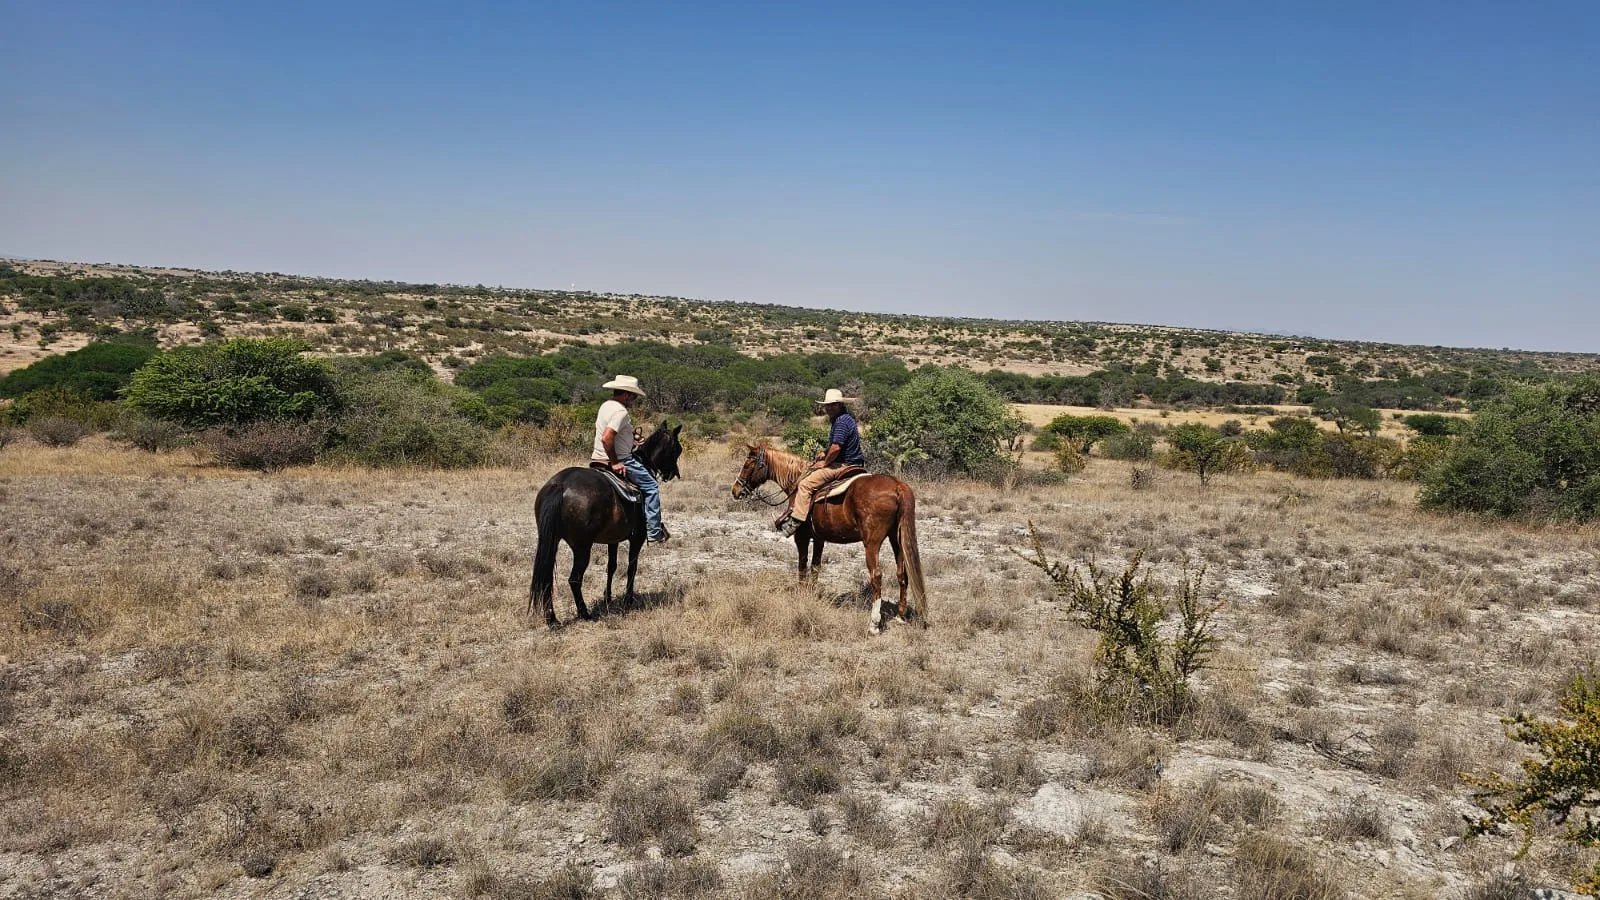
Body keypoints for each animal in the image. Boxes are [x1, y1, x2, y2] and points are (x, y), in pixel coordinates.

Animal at [528, 422, 683, 628]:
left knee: (546, 580)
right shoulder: (637, 538)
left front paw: (608, 598)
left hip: (551, 541)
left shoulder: (613, 539)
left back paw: (552, 618)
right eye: (677, 449)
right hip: (582, 547)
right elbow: (631, 567)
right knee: (574, 579)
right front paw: (628, 599)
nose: (673, 474)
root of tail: (560, 485)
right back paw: (584, 613)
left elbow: (611, 566)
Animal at [731, 444, 928, 634]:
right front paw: (811, 594)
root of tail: (897, 486)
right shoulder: (819, 539)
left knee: (876, 576)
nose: (735, 490)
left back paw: (874, 624)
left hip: (872, 543)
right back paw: (900, 616)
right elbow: (815, 568)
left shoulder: (801, 537)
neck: (797, 483)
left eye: (747, 465)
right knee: (902, 573)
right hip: (897, 539)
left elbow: (802, 566)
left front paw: (802, 594)